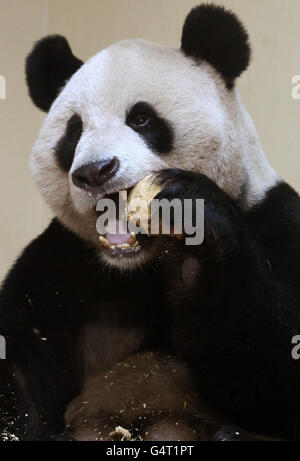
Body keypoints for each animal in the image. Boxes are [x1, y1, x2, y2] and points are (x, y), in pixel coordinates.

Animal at [0, 3, 300, 440]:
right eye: (74, 132)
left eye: (141, 119)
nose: (94, 172)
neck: (137, 267)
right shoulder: (59, 259)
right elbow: (21, 351)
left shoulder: (275, 219)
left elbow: (278, 371)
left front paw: (196, 228)